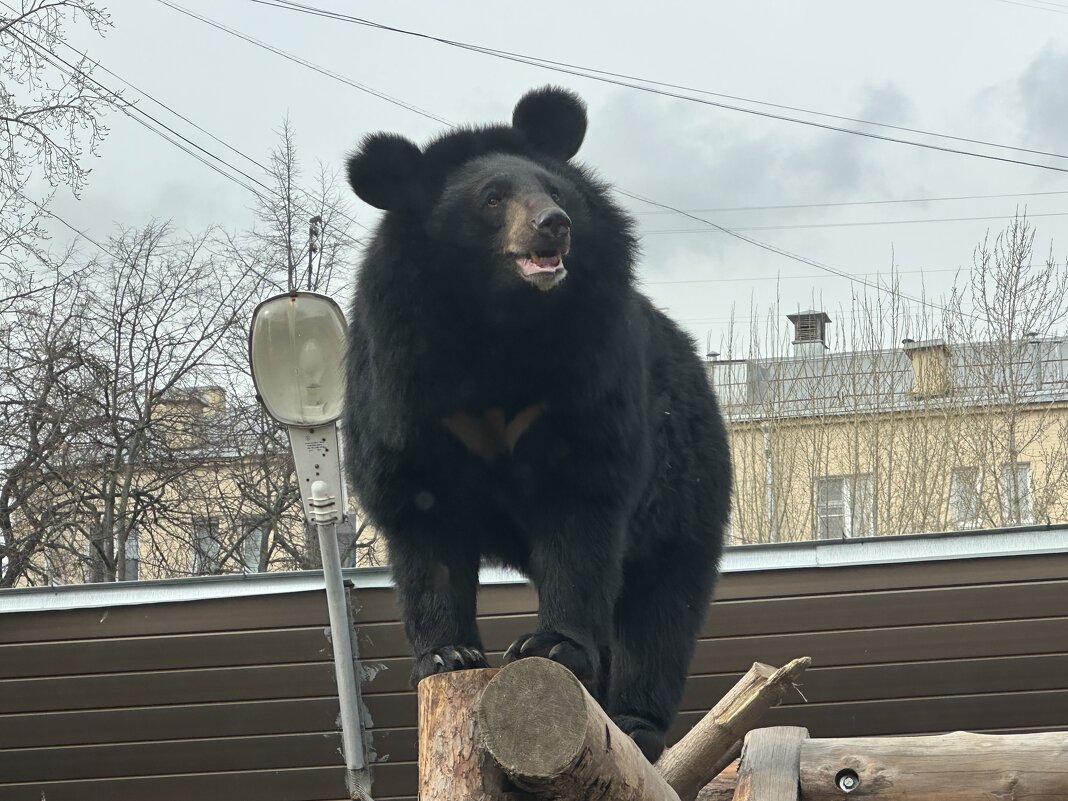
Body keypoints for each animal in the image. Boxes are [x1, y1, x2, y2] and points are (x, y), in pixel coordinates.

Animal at [346, 87, 730, 764]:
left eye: (556, 189)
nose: (555, 223)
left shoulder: (588, 373)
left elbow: (580, 505)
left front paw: (552, 646)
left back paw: (634, 722)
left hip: (688, 487)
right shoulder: (402, 387)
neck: (502, 324)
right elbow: (424, 524)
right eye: (492, 198)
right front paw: (447, 654)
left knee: (661, 607)